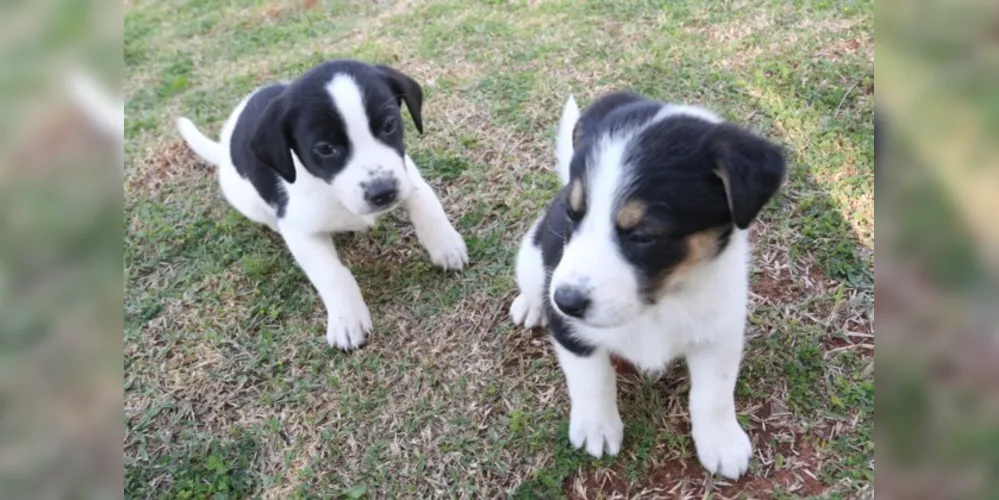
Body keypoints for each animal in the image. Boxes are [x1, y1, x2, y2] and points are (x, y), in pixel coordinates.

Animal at [512, 92, 784, 478]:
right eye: (572, 214)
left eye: (643, 235)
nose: (565, 301)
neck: (660, 302)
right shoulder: (570, 332)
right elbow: (592, 379)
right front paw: (596, 427)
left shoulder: (720, 332)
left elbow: (713, 395)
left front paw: (722, 443)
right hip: (533, 257)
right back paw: (530, 305)